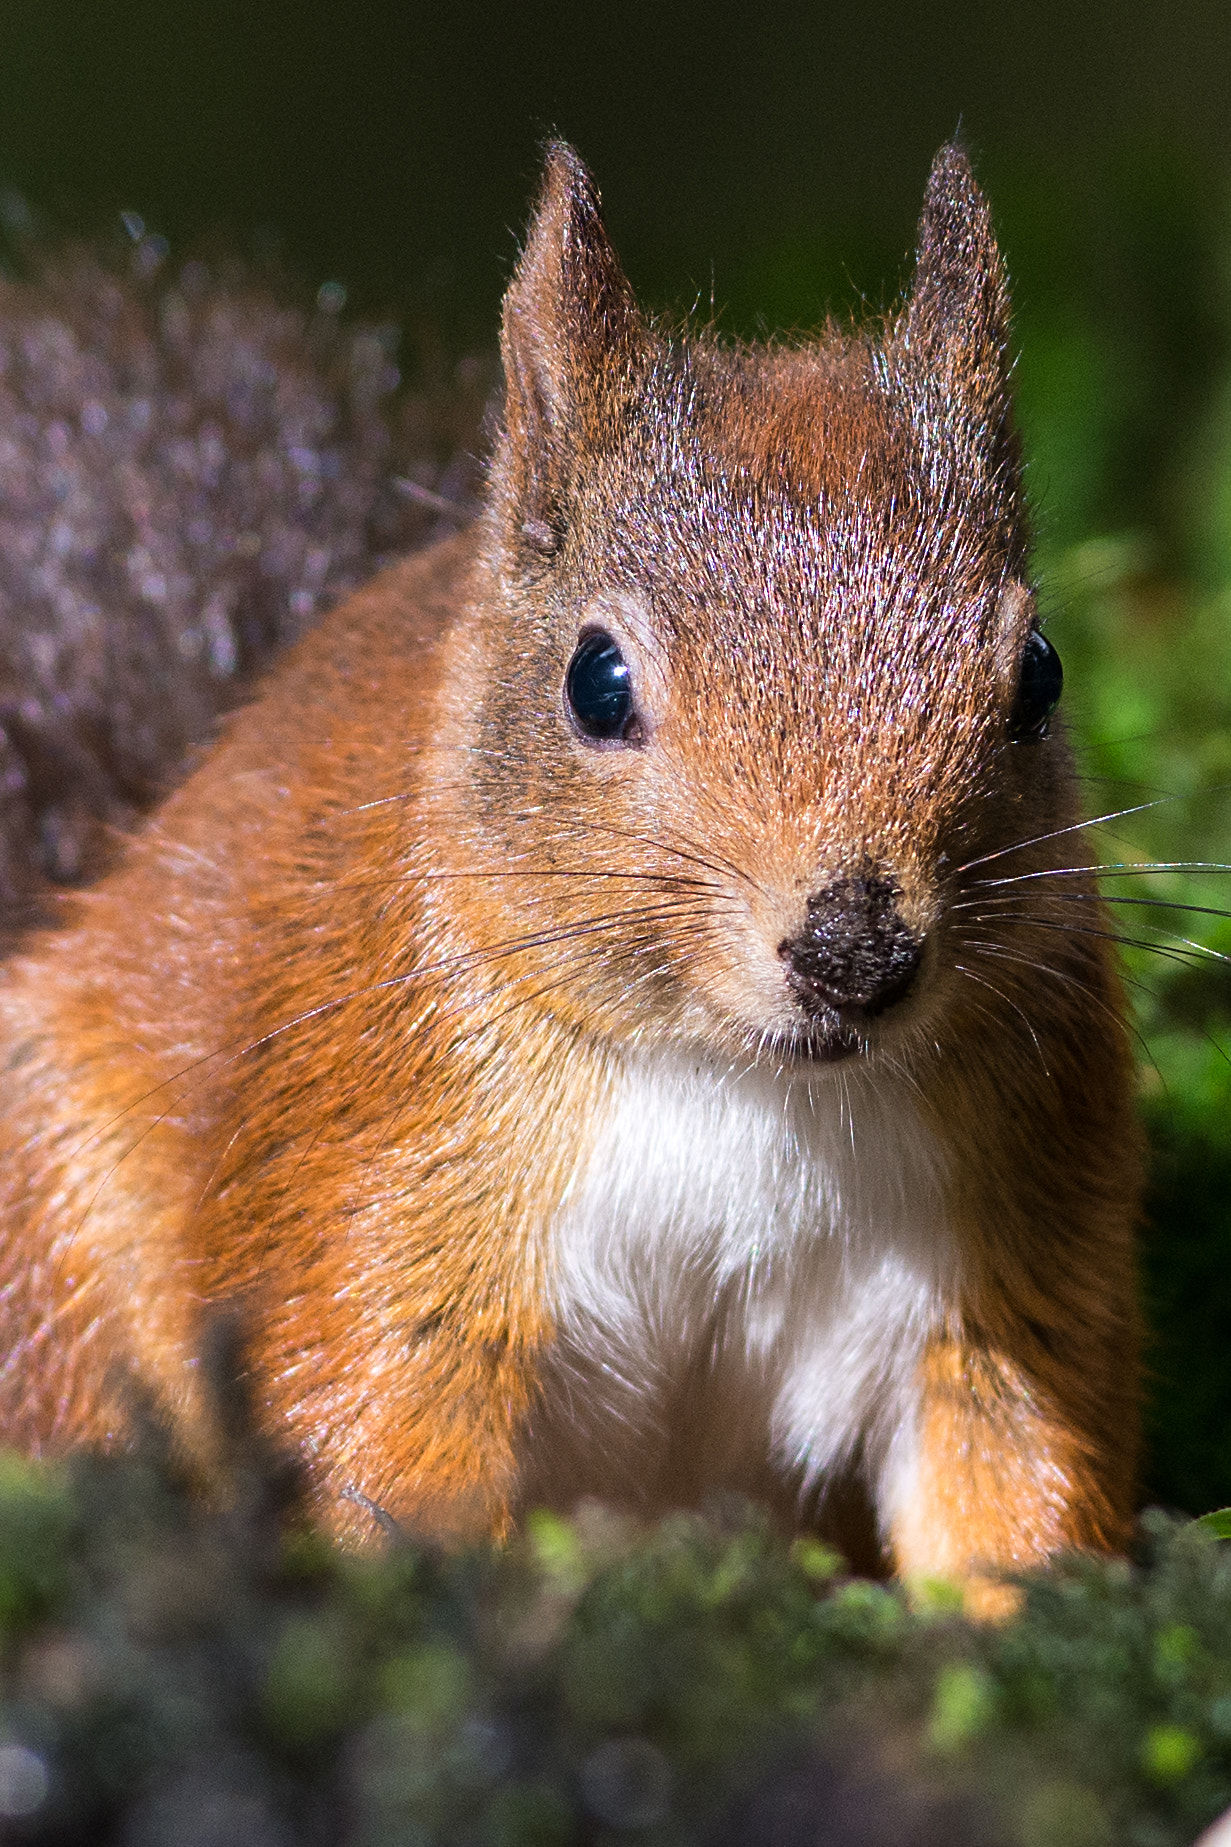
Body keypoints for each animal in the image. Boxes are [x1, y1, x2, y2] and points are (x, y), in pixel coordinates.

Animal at [0, 142, 1141, 1593]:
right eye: (594, 679)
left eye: (1037, 674)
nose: (855, 951)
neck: (741, 1093)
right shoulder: (380, 1173)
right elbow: (367, 1426)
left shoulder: (1005, 1242)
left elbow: (1012, 1466)